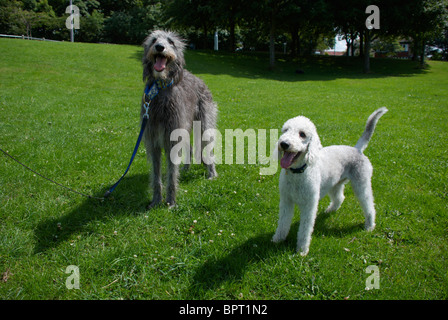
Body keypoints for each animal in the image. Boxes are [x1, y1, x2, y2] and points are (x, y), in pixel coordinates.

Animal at [140, 30, 217, 210]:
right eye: (154, 40)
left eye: (171, 41)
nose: (159, 47)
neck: (161, 89)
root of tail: (199, 79)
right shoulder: (153, 139)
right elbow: (156, 174)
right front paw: (156, 200)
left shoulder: (172, 136)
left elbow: (171, 173)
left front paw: (170, 201)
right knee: (189, 147)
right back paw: (187, 168)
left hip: (204, 121)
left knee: (207, 146)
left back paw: (211, 172)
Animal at [272, 109, 388, 256]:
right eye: (285, 130)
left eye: (302, 134)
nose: (283, 144)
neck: (298, 173)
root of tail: (357, 149)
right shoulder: (286, 200)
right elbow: (283, 222)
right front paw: (278, 238)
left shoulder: (309, 204)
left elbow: (305, 229)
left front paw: (302, 250)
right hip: (335, 184)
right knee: (340, 197)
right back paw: (330, 210)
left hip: (361, 183)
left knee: (369, 204)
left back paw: (370, 225)